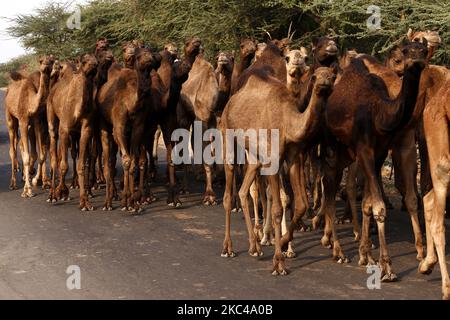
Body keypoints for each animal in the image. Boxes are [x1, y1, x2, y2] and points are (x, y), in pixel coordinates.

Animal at [4, 56, 55, 199]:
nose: (46, 65)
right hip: (10, 117)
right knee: (12, 148)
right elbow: (27, 156)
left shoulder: (36, 121)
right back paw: (13, 183)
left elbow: (41, 154)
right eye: (41, 61)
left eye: (52, 60)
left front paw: (41, 181)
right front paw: (27, 190)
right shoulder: (23, 120)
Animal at [47, 54, 99, 210]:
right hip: (51, 115)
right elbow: (64, 164)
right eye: (84, 60)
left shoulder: (86, 130)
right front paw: (62, 191)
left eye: (96, 60)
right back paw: (51, 195)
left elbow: (82, 163)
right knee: (54, 154)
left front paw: (85, 202)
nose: (94, 64)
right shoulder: (64, 129)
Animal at [220, 43, 336, 276]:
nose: (324, 82)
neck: (289, 120)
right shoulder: (273, 160)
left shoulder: (292, 158)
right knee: (229, 191)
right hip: (229, 136)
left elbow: (300, 204)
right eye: (315, 76)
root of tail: (232, 100)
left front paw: (282, 243)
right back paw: (228, 248)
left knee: (244, 190)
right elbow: (276, 209)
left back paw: (254, 246)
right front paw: (278, 262)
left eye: (332, 76)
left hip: (254, 156)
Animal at [316, 40, 428, 282]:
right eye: (406, 52)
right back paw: (336, 248)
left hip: (347, 151)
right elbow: (378, 207)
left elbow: (369, 203)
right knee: (328, 186)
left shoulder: (379, 151)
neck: (380, 113)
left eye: (424, 51)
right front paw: (387, 267)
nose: (417, 60)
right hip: (331, 146)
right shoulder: (365, 149)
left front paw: (367, 255)